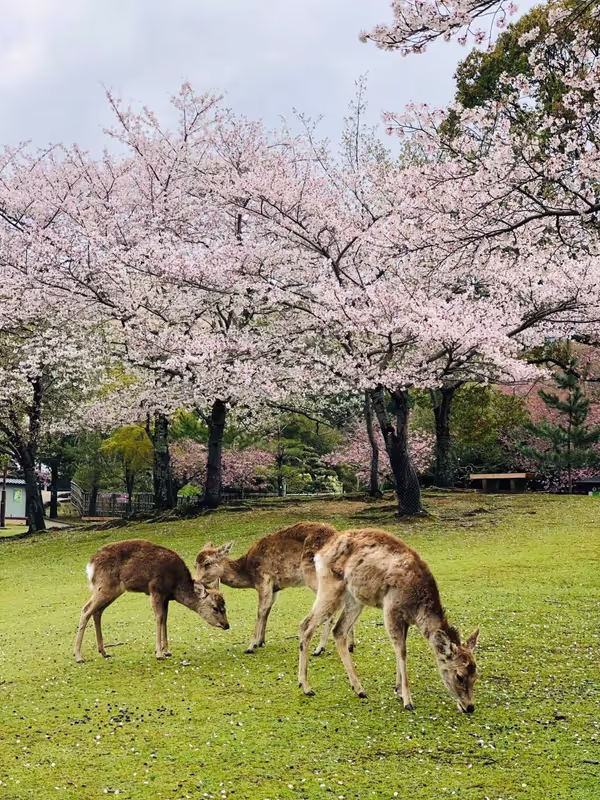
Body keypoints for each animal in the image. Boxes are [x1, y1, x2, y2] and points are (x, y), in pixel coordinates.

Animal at [74, 539, 229, 663]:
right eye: (215, 607)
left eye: (225, 606)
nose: (226, 625)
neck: (175, 586)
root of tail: (90, 565)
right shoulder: (155, 589)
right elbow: (159, 618)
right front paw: (159, 653)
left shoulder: (166, 597)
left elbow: (165, 619)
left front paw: (167, 650)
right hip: (104, 586)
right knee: (86, 609)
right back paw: (78, 656)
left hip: (112, 590)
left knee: (97, 612)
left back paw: (104, 652)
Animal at [195, 521, 355, 655]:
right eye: (195, 564)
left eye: (207, 563)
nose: (195, 581)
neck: (248, 573)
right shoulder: (275, 588)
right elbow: (268, 610)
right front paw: (261, 641)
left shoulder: (264, 579)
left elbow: (260, 610)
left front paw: (251, 646)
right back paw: (350, 645)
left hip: (315, 576)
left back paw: (319, 648)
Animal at [298, 527, 480, 713]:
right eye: (459, 675)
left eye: (476, 675)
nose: (470, 707)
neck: (417, 609)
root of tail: (320, 553)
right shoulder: (391, 608)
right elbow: (402, 651)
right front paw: (407, 700)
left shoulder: (405, 619)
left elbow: (400, 649)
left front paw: (398, 690)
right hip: (330, 587)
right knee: (306, 624)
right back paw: (306, 687)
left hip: (355, 599)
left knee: (339, 630)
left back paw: (359, 689)